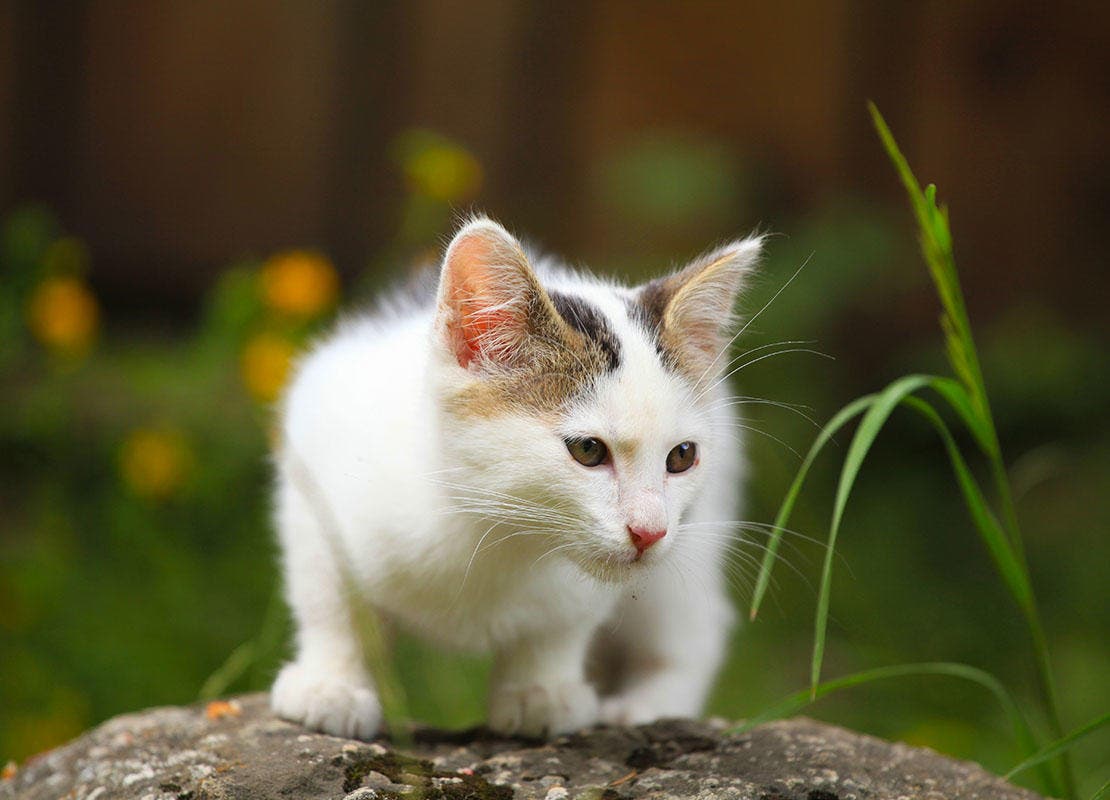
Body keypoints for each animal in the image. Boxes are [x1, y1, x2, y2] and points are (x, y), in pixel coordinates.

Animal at [268, 216, 763, 736]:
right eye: (588, 450)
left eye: (682, 456)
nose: (648, 532)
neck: (495, 528)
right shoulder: (313, 480)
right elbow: (332, 604)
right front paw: (331, 685)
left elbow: (560, 626)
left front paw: (541, 691)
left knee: (692, 626)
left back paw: (648, 706)